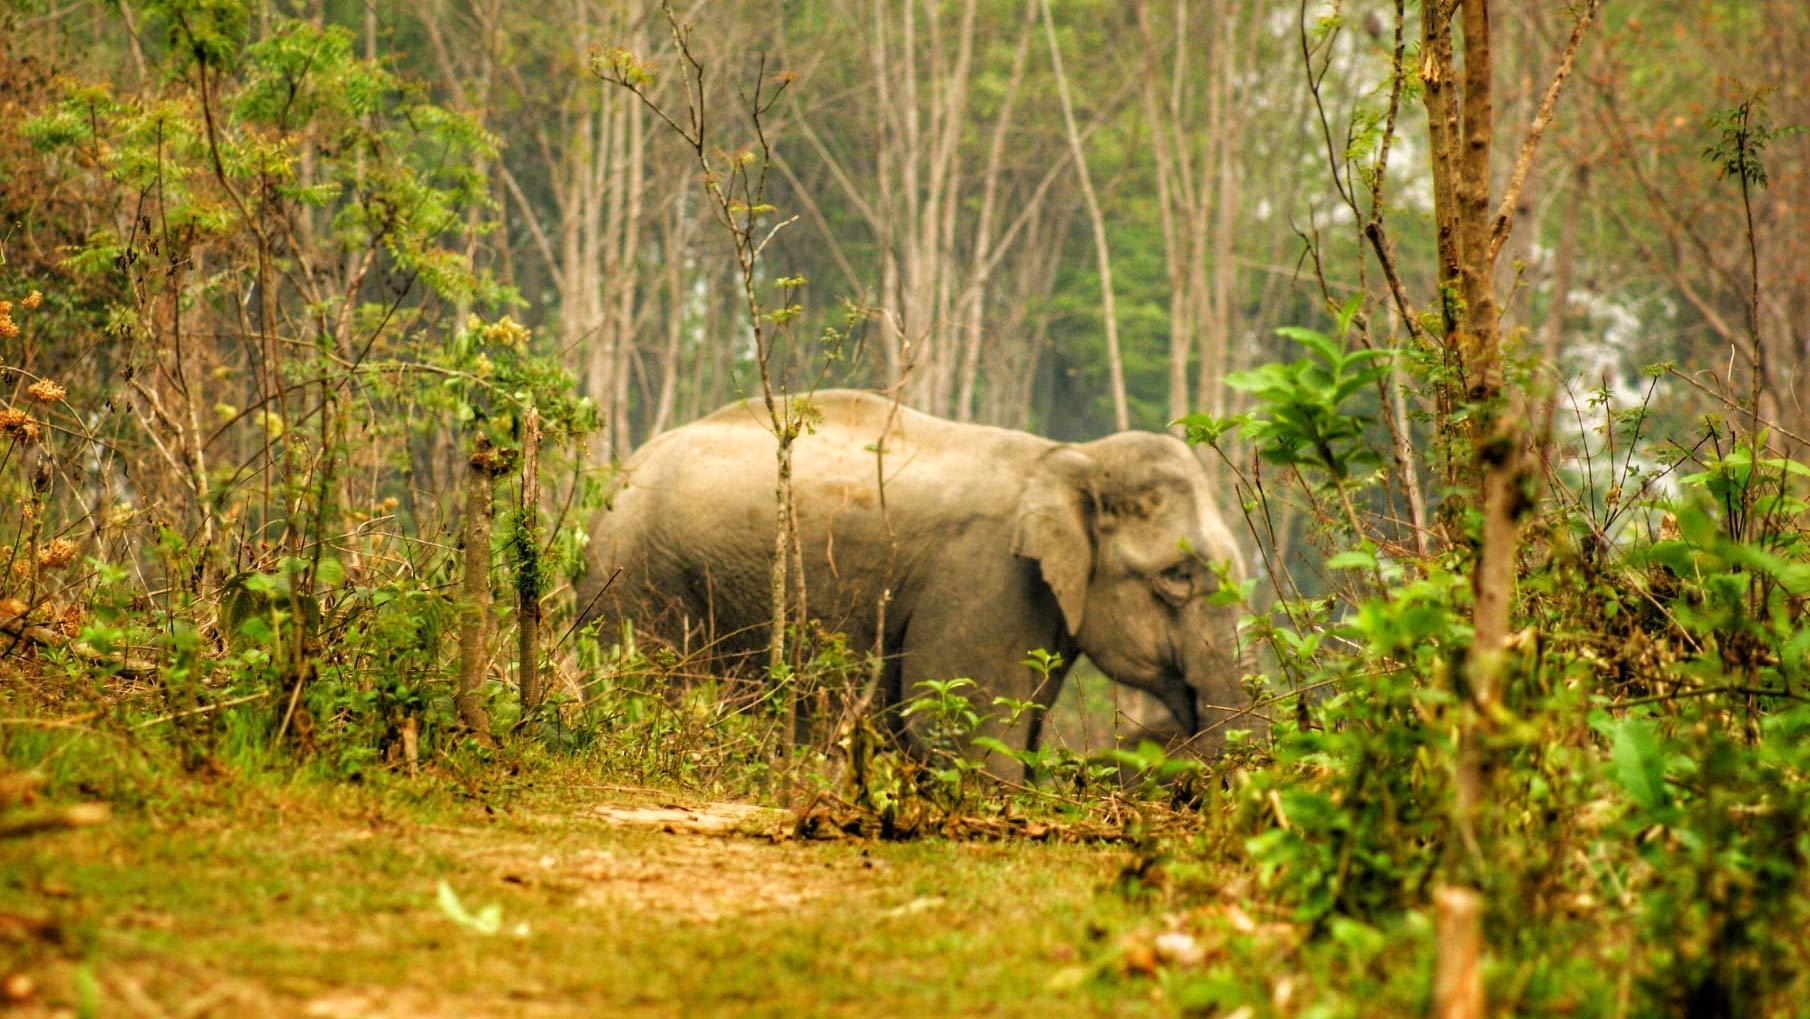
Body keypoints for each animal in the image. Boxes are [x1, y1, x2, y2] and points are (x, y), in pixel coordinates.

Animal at [579, 389, 1259, 767]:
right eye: (1178, 576)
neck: (1071, 456)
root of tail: (616, 477)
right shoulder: (985, 580)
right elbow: (970, 737)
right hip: (638, 583)